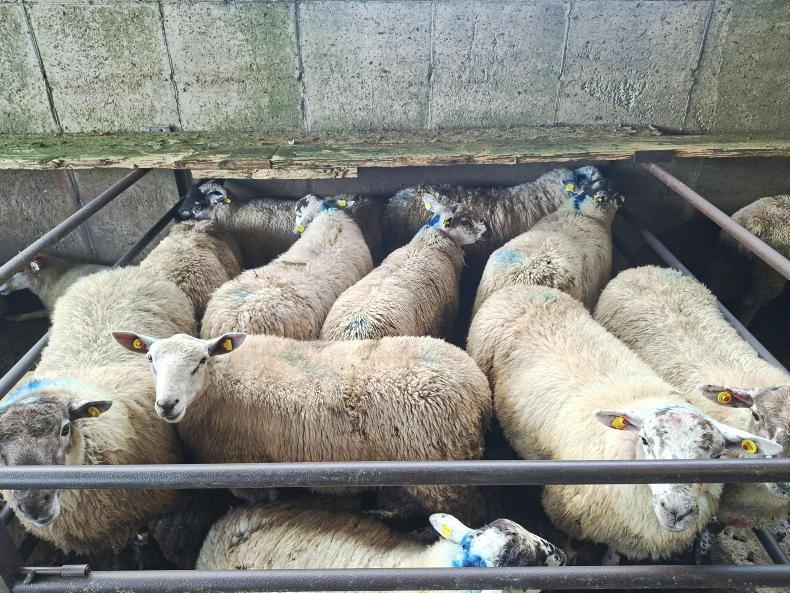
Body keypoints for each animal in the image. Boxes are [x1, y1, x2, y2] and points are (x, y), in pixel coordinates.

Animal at [113, 330, 492, 522]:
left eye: (201, 361)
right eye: (150, 359)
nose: (167, 404)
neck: (220, 381)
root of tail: (477, 386)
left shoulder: (245, 469)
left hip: (440, 471)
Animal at [179, 180, 385, 266]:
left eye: (197, 203)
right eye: (186, 195)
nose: (178, 213)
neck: (233, 212)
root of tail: (368, 200)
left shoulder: (255, 255)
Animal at [466, 285, 780, 562]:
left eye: (716, 455)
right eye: (646, 441)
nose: (676, 512)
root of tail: (524, 288)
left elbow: (614, 557)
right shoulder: (566, 513)